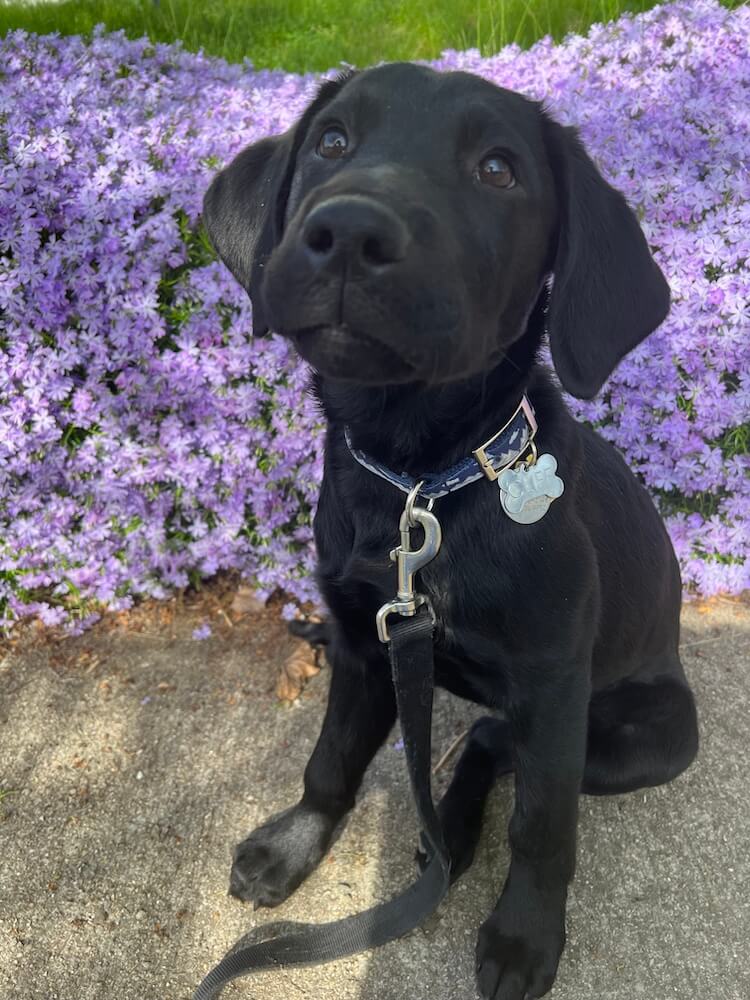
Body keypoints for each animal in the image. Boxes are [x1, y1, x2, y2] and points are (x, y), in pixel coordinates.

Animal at [203, 66, 704, 1000]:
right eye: (331, 140)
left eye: (498, 170)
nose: (349, 233)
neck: (420, 483)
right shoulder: (366, 641)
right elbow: (331, 760)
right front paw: (295, 843)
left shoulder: (552, 683)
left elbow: (544, 828)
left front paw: (524, 936)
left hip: (651, 736)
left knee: (493, 742)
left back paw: (456, 831)